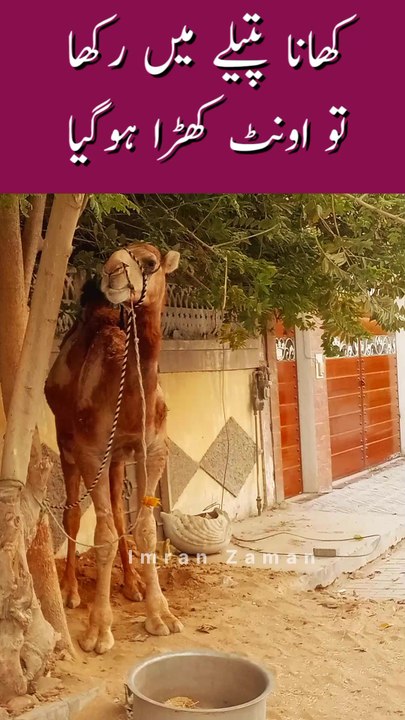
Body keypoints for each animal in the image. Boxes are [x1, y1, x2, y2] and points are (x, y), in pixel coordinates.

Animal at [45, 242, 183, 654]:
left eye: (150, 262)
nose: (111, 272)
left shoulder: (152, 450)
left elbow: (146, 529)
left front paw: (161, 616)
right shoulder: (92, 452)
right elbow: (102, 535)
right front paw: (97, 631)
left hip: (119, 457)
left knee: (121, 515)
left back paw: (132, 584)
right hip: (66, 440)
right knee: (73, 513)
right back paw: (70, 591)